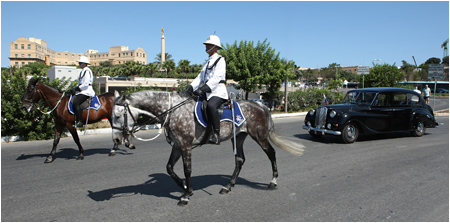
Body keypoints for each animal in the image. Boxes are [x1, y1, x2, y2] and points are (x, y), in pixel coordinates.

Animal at [110, 90, 304, 206]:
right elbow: (169, 168)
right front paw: (183, 186)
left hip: (259, 136)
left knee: (271, 153)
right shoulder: (177, 146)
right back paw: (228, 186)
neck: (173, 111)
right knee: (240, 160)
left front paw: (187, 194)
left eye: (118, 115)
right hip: (239, 137)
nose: (117, 139)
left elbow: (187, 169)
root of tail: (259, 104)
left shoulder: (186, 145)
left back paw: (273, 181)